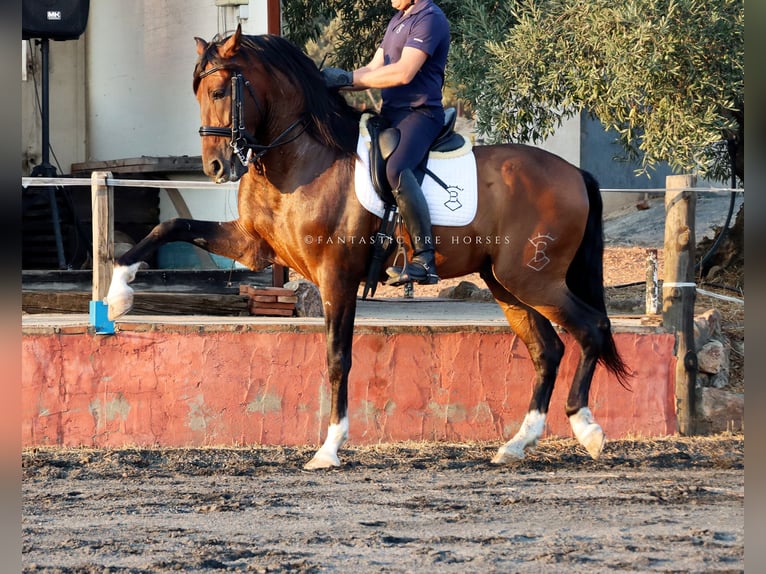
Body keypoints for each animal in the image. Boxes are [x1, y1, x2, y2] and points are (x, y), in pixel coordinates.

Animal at [105, 26, 631, 470]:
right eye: (196, 94)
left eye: (218, 92)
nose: (215, 167)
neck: (300, 159)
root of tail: (574, 172)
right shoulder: (254, 246)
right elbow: (171, 224)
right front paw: (117, 295)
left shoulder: (336, 275)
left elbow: (338, 357)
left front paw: (329, 448)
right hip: (505, 283)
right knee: (548, 349)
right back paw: (518, 444)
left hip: (533, 277)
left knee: (591, 328)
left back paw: (587, 430)